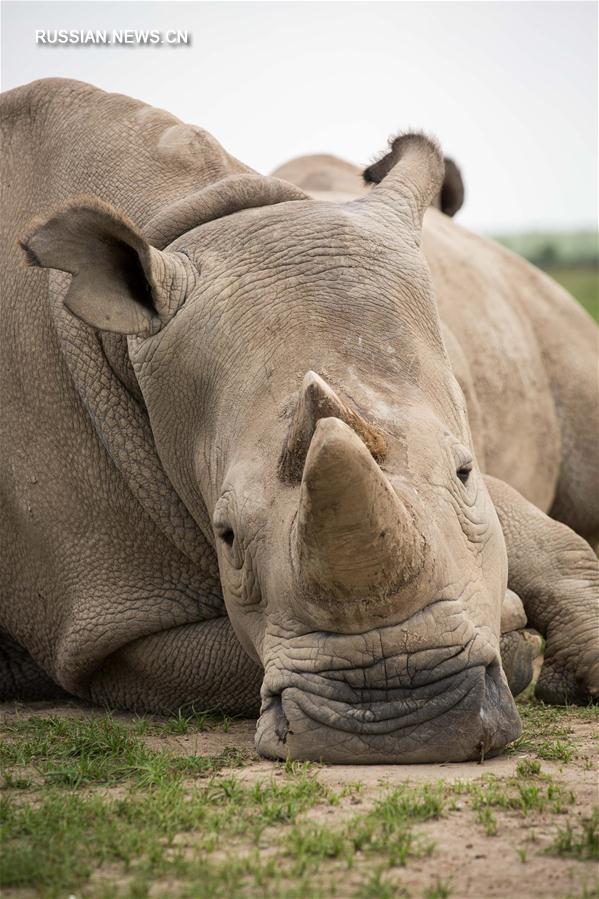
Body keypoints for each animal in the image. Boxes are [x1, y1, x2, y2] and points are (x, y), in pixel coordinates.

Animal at [1, 79, 599, 768]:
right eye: (226, 534)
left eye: (464, 470)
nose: (402, 717)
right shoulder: (103, 626)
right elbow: (228, 658)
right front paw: (514, 633)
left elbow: (513, 522)